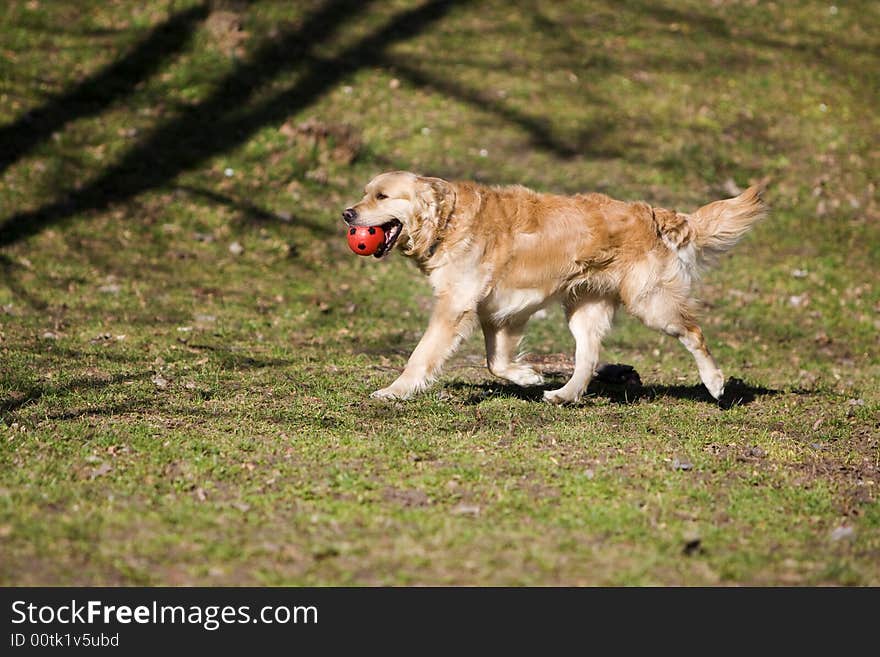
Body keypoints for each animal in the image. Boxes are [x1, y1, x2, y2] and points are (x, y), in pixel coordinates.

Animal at [344, 172, 764, 402]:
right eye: (364, 192)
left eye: (382, 196)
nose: (347, 213)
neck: (448, 221)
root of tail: (655, 214)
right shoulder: (501, 313)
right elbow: (496, 362)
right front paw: (529, 376)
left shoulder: (456, 307)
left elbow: (421, 355)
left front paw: (394, 391)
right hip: (584, 309)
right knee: (588, 358)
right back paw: (564, 395)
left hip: (651, 303)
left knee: (694, 333)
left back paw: (715, 383)